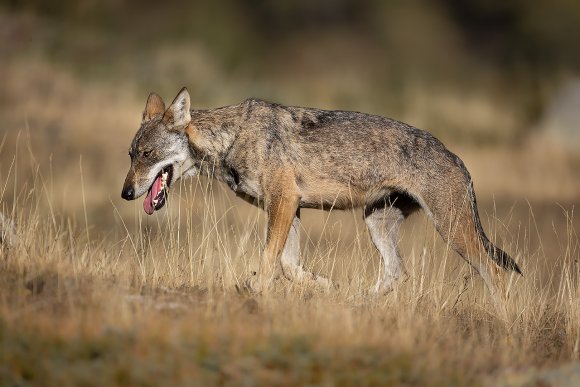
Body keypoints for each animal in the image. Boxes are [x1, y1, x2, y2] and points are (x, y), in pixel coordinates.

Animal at [122, 88, 520, 304]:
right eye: (131, 155)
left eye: (147, 154)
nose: (126, 193)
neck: (230, 140)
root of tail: (456, 156)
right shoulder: (289, 207)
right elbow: (288, 265)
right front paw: (325, 286)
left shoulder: (283, 202)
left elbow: (270, 260)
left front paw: (256, 291)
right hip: (376, 222)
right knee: (397, 273)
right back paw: (357, 303)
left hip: (453, 231)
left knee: (496, 276)